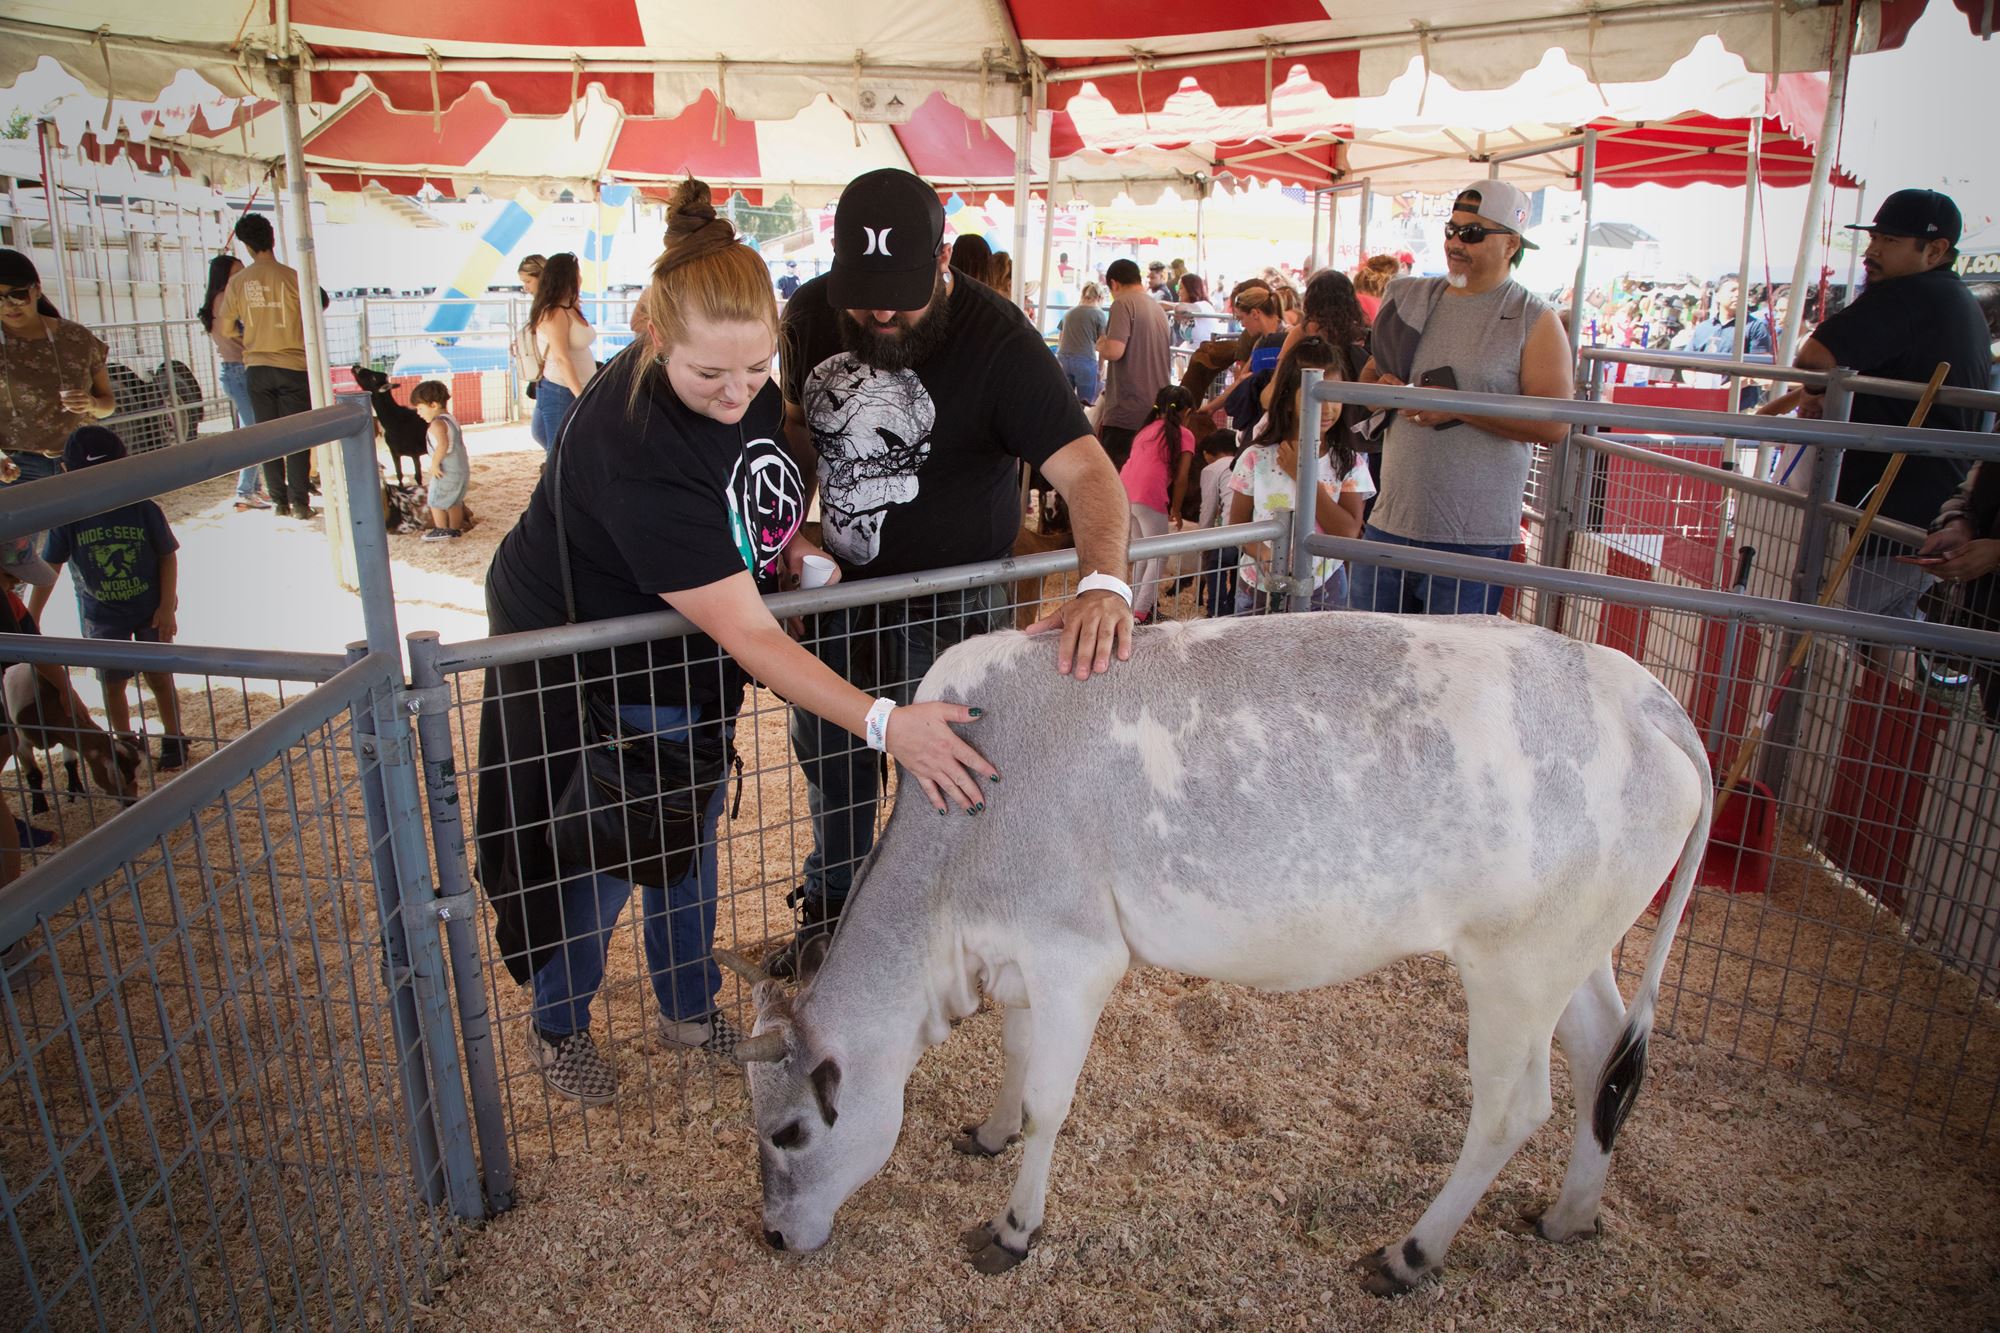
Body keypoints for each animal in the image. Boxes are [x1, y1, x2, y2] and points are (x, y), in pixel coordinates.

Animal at [728, 608, 1712, 1288]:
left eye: (789, 1129)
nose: (772, 1233)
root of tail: (1648, 695)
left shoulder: (1078, 955)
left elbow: (1050, 1103)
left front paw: (1014, 1228)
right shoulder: (1020, 957)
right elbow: (1015, 1059)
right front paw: (989, 1130)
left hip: (1514, 967)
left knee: (1514, 1108)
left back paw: (1409, 1251)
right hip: (1576, 952)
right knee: (1605, 1061)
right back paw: (1570, 1212)